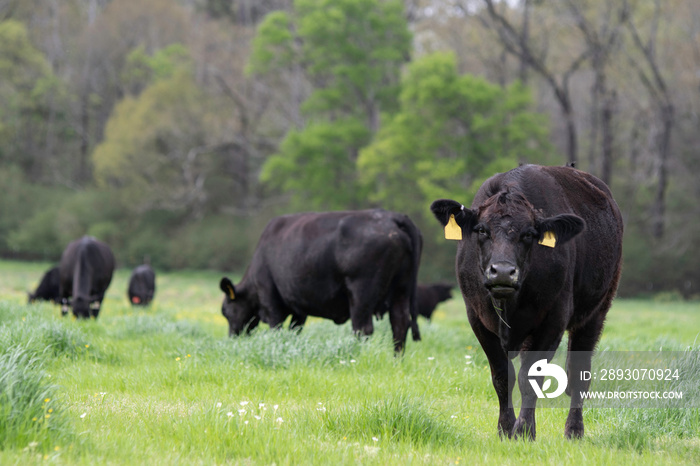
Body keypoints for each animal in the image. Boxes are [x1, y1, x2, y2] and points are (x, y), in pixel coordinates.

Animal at [219, 209, 422, 352]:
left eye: (226, 312)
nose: (232, 337)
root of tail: (393, 217)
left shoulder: (271, 301)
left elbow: (276, 328)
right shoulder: (298, 309)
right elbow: (294, 330)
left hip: (361, 293)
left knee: (362, 328)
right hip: (401, 290)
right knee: (400, 324)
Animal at [432, 165, 624, 440]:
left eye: (529, 234)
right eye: (481, 230)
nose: (502, 272)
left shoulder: (552, 321)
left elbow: (531, 377)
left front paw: (523, 431)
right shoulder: (477, 319)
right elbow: (503, 376)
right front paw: (505, 427)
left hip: (596, 313)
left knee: (580, 375)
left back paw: (574, 430)